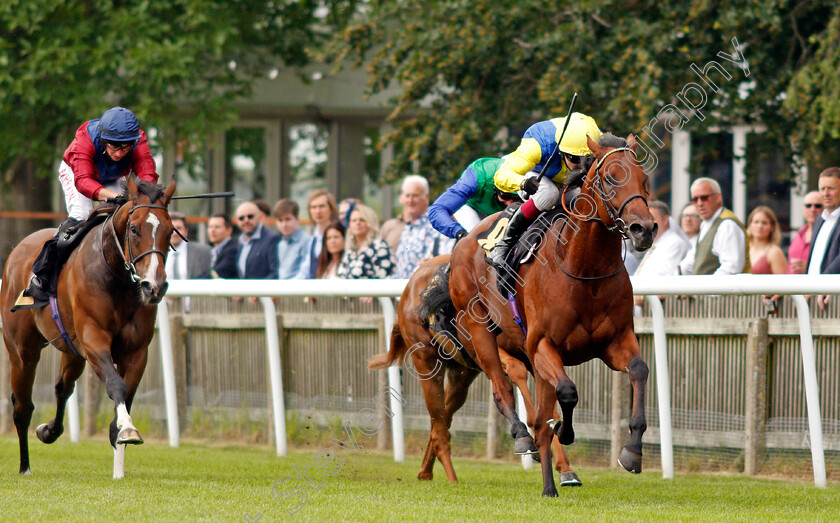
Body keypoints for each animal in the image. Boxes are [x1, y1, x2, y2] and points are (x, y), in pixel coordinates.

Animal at [1, 176, 176, 478]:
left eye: (170, 230)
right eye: (133, 228)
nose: (153, 286)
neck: (116, 277)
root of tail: (17, 250)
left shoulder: (137, 352)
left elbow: (125, 396)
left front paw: (119, 469)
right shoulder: (94, 341)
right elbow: (116, 385)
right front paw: (129, 430)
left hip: (72, 350)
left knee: (62, 387)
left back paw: (49, 431)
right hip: (22, 352)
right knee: (22, 406)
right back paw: (25, 468)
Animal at [370, 254, 580, 488]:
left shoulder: (534, 350)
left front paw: (565, 468)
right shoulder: (488, 345)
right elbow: (517, 371)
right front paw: (530, 439)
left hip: (461, 375)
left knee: (442, 418)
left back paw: (425, 471)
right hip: (426, 360)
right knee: (439, 418)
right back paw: (451, 476)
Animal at [450, 134, 660, 496]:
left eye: (644, 180)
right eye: (610, 179)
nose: (643, 229)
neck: (585, 269)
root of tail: (466, 240)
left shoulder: (615, 342)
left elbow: (639, 370)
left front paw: (632, 452)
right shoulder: (543, 345)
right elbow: (567, 393)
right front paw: (564, 429)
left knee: (536, 410)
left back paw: (560, 475)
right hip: (480, 332)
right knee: (505, 392)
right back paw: (529, 448)